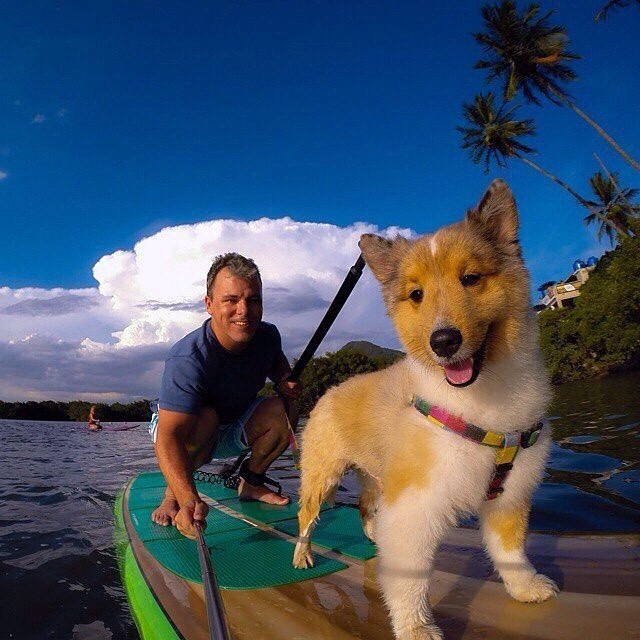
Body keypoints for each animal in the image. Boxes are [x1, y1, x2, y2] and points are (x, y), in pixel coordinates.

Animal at [292, 179, 556, 640]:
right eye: (416, 295)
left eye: (471, 278)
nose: (444, 341)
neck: (480, 402)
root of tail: (327, 391)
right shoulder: (416, 504)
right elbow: (409, 578)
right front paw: (415, 627)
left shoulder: (509, 494)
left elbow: (511, 552)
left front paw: (525, 588)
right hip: (322, 475)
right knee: (304, 514)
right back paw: (302, 555)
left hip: (376, 474)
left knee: (366, 508)